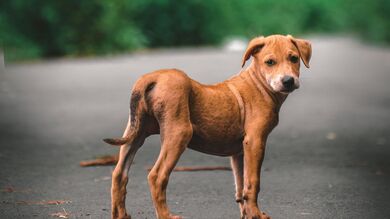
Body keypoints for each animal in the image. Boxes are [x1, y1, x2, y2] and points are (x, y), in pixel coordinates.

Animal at [103, 34, 310, 219]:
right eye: (270, 62)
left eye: (294, 58)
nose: (288, 81)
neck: (260, 84)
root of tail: (151, 78)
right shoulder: (255, 142)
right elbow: (253, 182)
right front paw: (256, 214)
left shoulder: (239, 152)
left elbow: (240, 185)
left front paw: (246, 213)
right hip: (178, 134)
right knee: (156, 176)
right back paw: (166, 215)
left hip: (135, 135)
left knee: (119, 174)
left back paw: (120, 215)